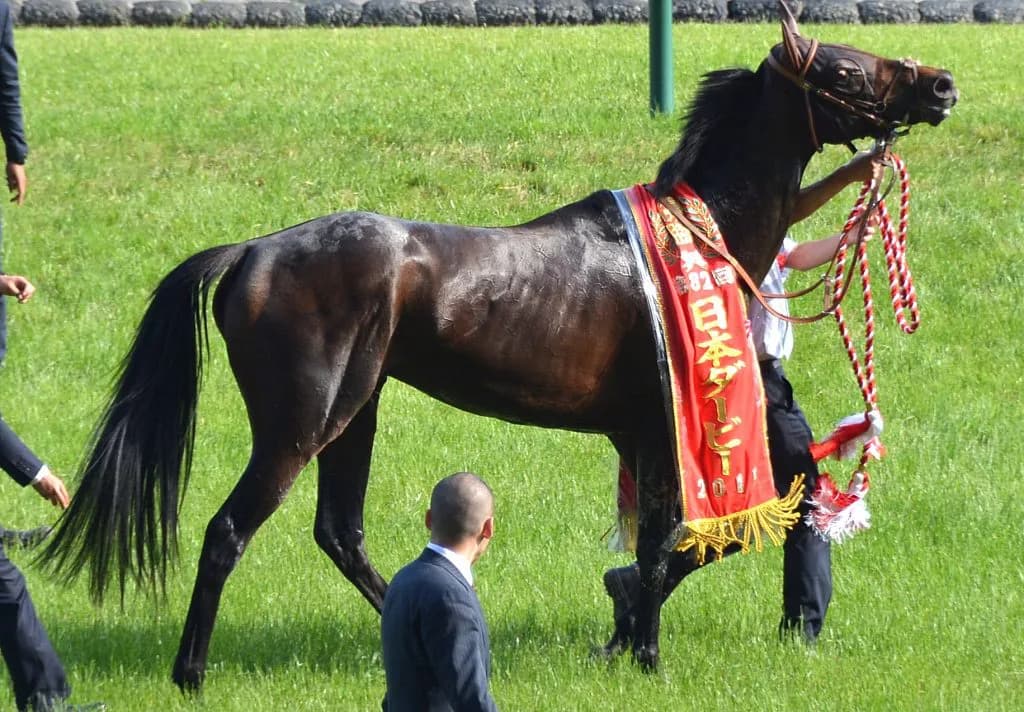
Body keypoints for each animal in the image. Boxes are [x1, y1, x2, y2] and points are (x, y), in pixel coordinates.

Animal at [43, 4, 957, 692]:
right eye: (844, 72)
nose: (940, 84)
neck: (702, 234)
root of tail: (250, 252)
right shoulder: (663, 430)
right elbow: (672, 541)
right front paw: (641, 647)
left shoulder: (648, 435)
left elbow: (701, 534)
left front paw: (622, 627)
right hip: (302, 423)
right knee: (229, 530)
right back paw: (190, 673)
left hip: (357, 413)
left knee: (341, 532)